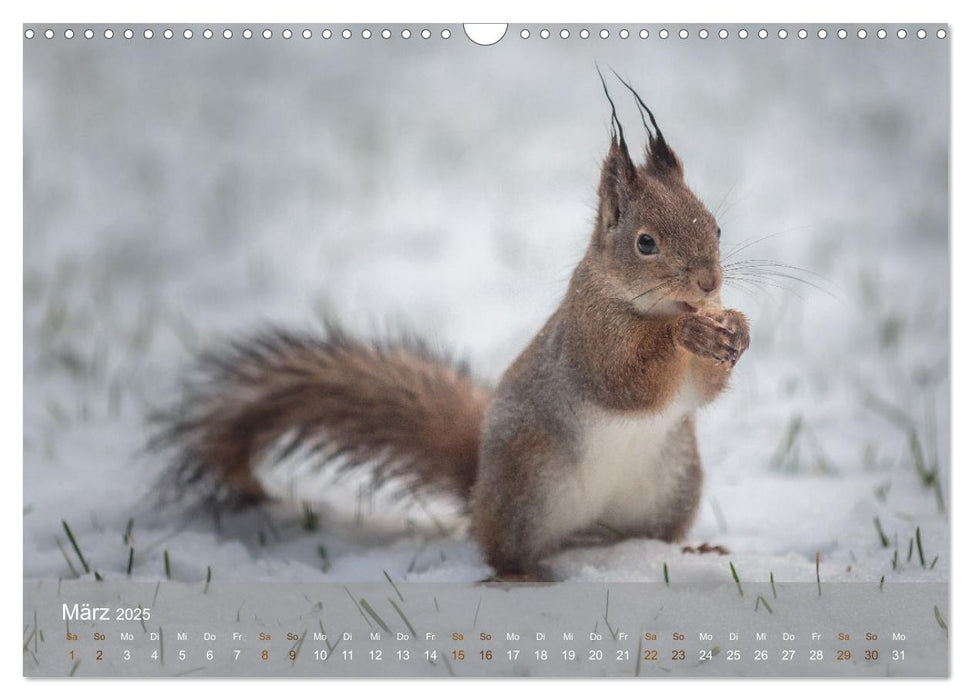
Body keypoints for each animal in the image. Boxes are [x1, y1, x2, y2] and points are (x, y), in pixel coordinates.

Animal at [154, 74, 752, 584]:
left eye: (716, 227)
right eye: (645, 242)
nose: (708, 282)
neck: (650, 306)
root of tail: (480, 483)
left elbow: (700, 390)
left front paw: (737, 330)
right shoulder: (589, 340)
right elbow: (629, 382)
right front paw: (689, 335)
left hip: (672, 485)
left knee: (650, 536)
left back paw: (690, 552)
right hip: (528, 487)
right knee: (503, 548)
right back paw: (524, 575)